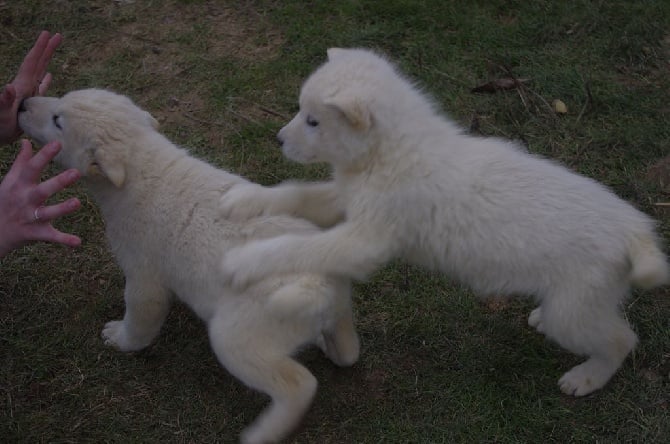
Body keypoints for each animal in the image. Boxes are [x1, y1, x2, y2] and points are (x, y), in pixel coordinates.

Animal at [18, 89, 362, 444]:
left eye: (58, 121)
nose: (23, 104)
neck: (140, 164)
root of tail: (317, 287)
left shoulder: (144, 272)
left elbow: (142, 315)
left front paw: (119, 338)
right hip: (336, 303)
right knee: (349, 350)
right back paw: (328, 344)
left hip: (240, 331)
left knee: (297, 383)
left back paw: (264, 431)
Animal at [219, 47, 668, 396]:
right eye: (301, 112)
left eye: (314, 121)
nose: (278, 139)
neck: (390, 150)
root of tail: (636, 229)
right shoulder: (346, 199)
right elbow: (295, 193)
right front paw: (243, 201)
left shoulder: (365, 240)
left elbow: (300, 246)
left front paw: (245, 262)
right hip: (577, 301)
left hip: (575, 311)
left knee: (620, 339)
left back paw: (587, 378)